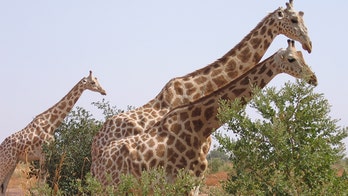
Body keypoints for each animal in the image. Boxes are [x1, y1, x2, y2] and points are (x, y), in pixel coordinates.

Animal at [93, 39, 318, 194]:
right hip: (110, 187)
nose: (313, 78)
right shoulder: (182, 183)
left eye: (303, 56)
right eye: (291, 58)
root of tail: (99, 156)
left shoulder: (195, 183)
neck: (200, 128)